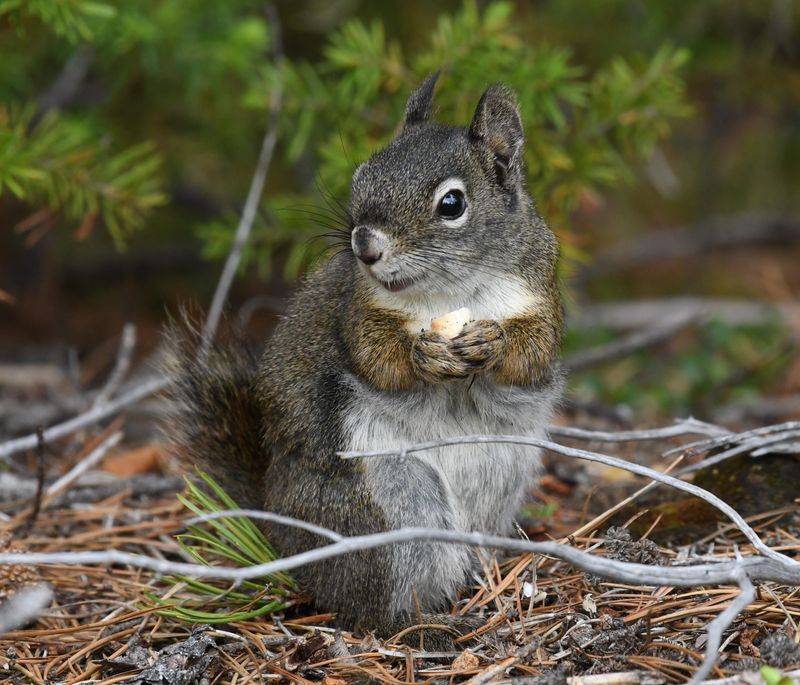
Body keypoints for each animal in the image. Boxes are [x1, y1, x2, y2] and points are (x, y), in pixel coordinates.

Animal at [168, 75, 564, 640]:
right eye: (361, 175)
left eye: (451, 204)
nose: (364, 246)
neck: (451, 290)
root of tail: (288, 542)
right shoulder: (356, 310)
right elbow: (376, 357)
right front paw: (423, 355)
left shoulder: (538, 291)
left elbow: (533, 351)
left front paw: (493, 344)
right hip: (387, 513)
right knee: (371, 606)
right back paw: (423, 626)